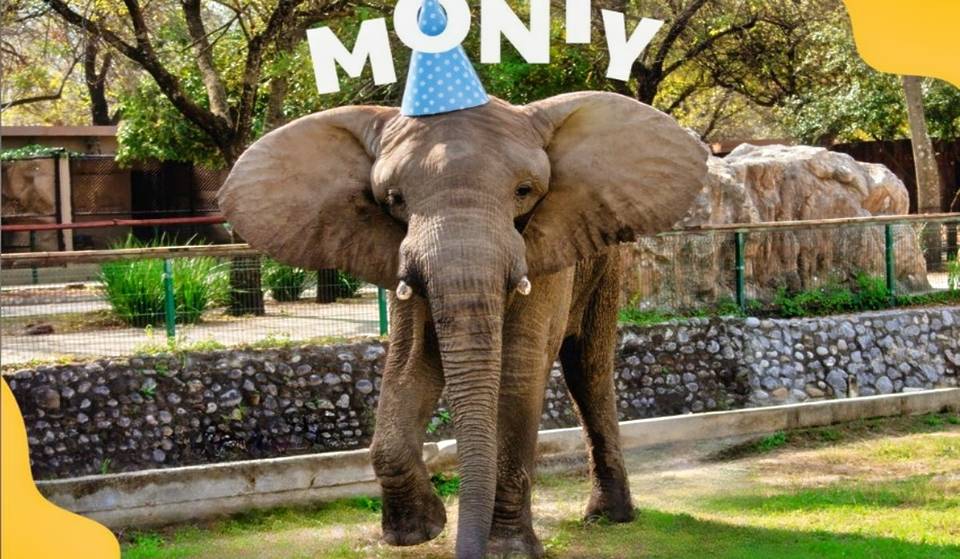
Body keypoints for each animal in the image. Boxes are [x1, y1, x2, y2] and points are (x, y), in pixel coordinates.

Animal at [218, 91, 708, 558]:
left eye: (524, 190)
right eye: (394, 199)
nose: (464, 545)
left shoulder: (546, 248)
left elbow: (518, 368)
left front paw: (508, 551)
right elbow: (411, 362)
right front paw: (417, 533)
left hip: (606, 264)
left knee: (587, 369)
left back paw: (609, 517)